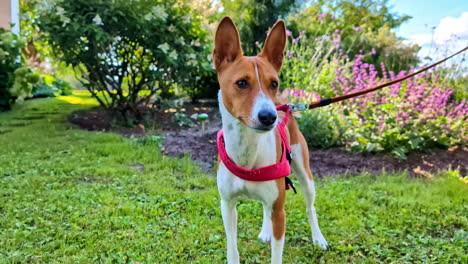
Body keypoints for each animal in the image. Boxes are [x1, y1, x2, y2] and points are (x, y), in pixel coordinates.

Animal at [214, 17, 328, 262]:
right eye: (241, 83)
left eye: (274, 83)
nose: (269, 117)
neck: (247, 153)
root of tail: (284, 106)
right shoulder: (227, 205)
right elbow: (232, 248)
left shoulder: (279, 213)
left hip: (305, 175)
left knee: (310, 208)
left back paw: (318, 238)